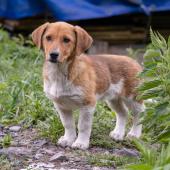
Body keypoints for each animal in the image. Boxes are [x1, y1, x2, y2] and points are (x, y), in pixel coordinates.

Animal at [31, 21, 144, 150]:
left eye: (66, 40)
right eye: (48, 38)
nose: (53, 54)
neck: (60, 73)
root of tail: (134, 61)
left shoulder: (87, 104)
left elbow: (83, 126)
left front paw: (81, 143)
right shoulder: (61, 105)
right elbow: (68, 124)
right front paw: (68, 139)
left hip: (133, 97)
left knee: (139, 113)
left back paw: (134, 134)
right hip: (114, 99)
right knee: (123, 113)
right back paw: (118, 134)